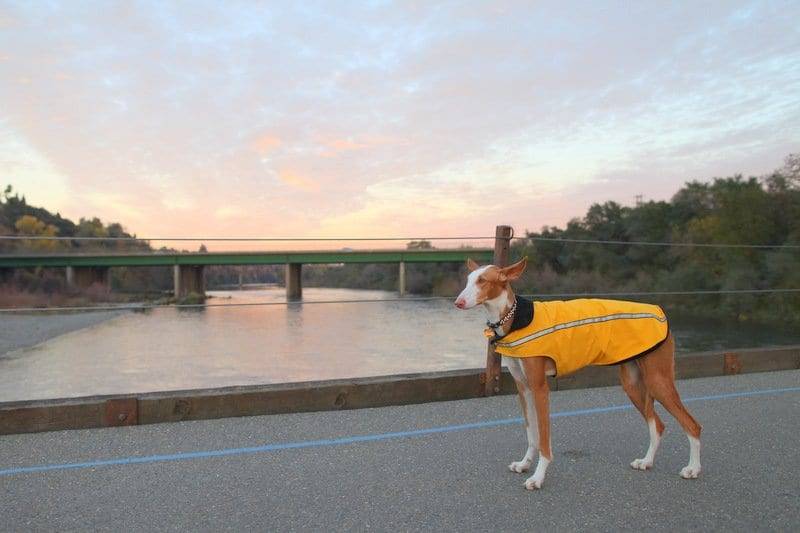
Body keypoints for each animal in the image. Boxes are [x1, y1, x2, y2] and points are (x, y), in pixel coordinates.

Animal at [454, 256, 704, 488]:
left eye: (483, 280)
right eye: (468, 279)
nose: (458, 302)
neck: (514, 318)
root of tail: (660, 312)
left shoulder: (540, 388)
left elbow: (543, 438)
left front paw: (538, 477)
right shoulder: (523, 388)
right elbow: (531, 433)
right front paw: (525, 464)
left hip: (657, 380)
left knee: (692, 425)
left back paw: (693, 468)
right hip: (633, 384)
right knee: (657, 425)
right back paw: (647, 461)